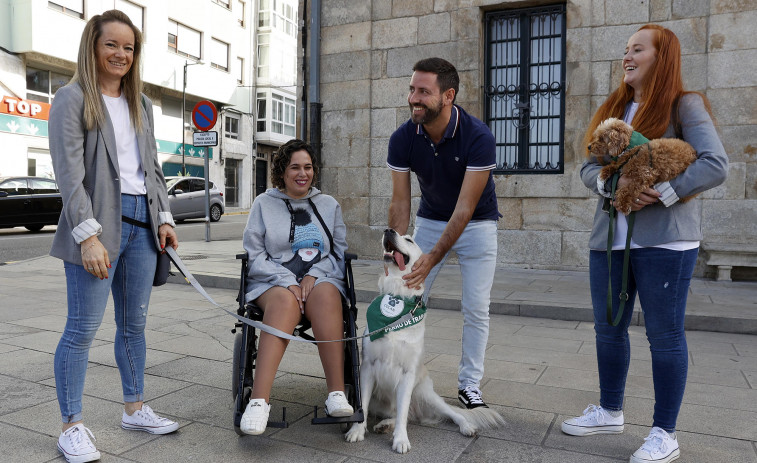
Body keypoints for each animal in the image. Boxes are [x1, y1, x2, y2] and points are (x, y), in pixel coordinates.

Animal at [346, 228, 502, 454]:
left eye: (409, 239)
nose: (388, 230)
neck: (398, 296)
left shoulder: (408, 373)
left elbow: (403, 412)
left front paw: (401, 440)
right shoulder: (368, 367)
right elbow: (363, 406)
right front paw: (357, 430)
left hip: (426, 393)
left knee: (446, 413)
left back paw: (466, 426)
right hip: (382, 400)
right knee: (404, 415)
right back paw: (385, 425)